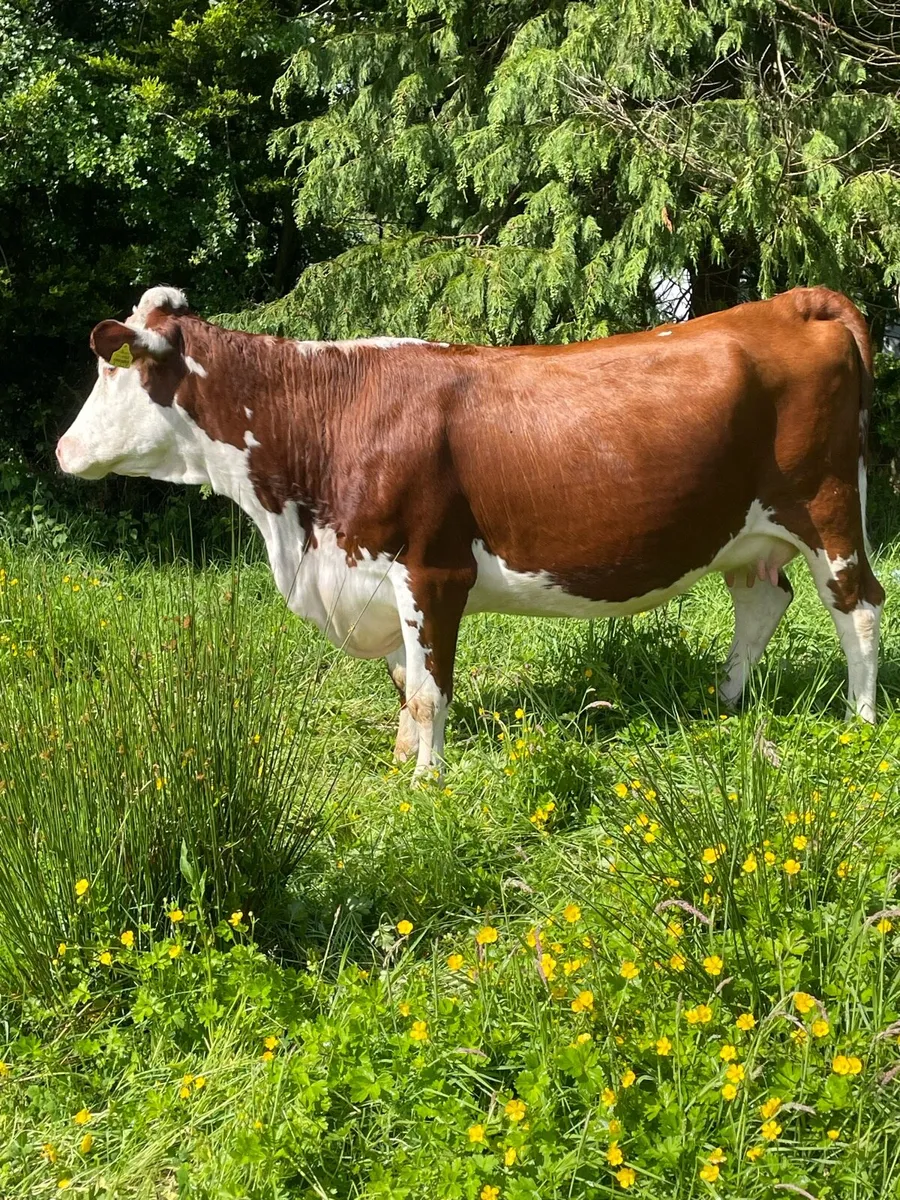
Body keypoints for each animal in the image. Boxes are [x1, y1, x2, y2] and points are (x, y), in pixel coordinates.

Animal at [57, 284, 884, 776]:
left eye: (110, 371)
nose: (62, 450)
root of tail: (797, 300)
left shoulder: (433, 569)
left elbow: (429, 690)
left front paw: (427, 781)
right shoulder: (375, 576)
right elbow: (403, 682)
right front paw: (400, 760)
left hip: (827, 509)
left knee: (858, 609)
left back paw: (863, 719)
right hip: (747, 532)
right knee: (761, 601)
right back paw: (725, 701)